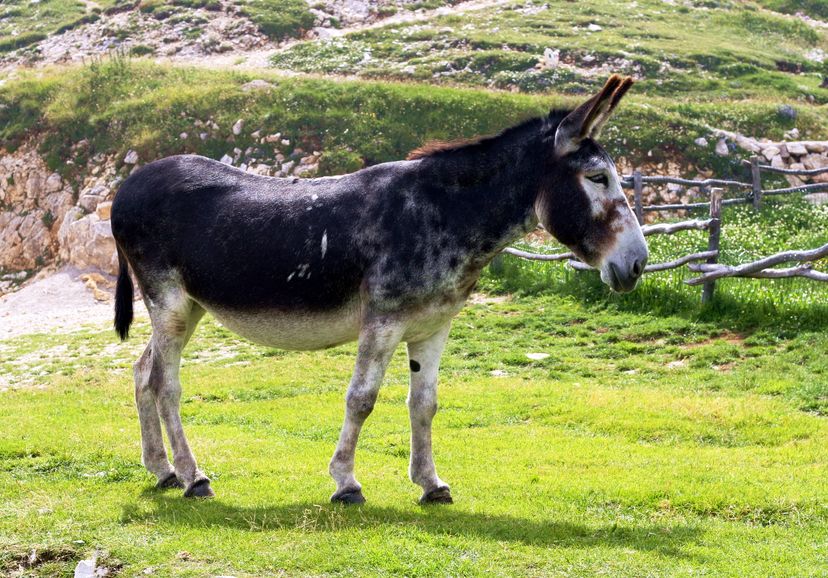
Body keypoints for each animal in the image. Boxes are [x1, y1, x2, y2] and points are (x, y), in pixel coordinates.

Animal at [111, 75, 647, 504]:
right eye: (598, 178)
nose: (639, 264)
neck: (444, 214)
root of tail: (130, 182)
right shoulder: (383, 321)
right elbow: (361, 399)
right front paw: (346, 483)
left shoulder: (433, 327)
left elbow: (424, 404)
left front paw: (431, 484)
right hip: (168, 301)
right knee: (165, 384)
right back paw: (193, 477)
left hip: (189, 307)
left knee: (142, 372)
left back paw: (162, 470)